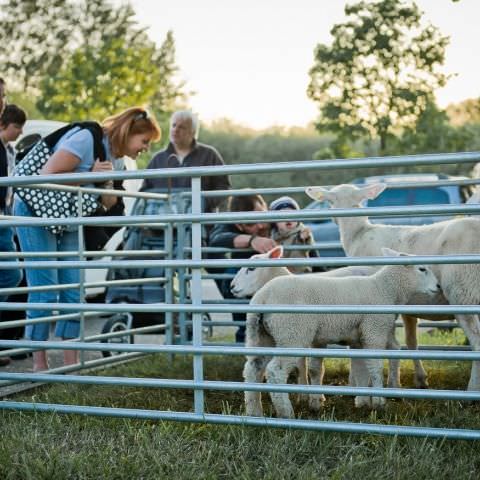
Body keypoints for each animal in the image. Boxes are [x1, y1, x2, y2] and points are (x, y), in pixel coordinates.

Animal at [242, 248, 440, 416]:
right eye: (422, 269)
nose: (438, 286)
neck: (384, 289)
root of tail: (262, 296)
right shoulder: (374, 330)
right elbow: (375, 367)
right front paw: (379, 403)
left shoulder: (360, 338)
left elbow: (361, 369)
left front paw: (363, 402)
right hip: (292, 333)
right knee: (275, 371)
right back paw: (286, 413)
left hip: (262, 335)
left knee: (253, 369)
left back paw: (254, 411)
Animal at [306, 184, 480, 390]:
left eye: (330, 201)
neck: (359, 233)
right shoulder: (406, 304)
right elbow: (411, 341)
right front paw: (420, 379)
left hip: (463, 293)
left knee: (477, 344)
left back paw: (472, 388)